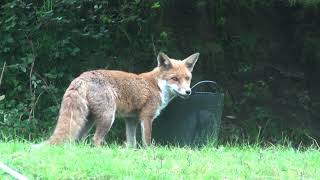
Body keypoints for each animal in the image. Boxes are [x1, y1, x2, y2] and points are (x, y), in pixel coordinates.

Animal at [47, 52, 199, 148]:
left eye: (187, 78)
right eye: (174, 78)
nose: (188, 92)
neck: (157, 86)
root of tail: (82, 77)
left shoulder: (131, 119)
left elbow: (131, 143)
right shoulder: (146, 117)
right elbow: (147, 141)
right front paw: (150, 155)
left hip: (88, 121)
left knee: (78, 141)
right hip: (108, 117)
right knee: (95, 139)